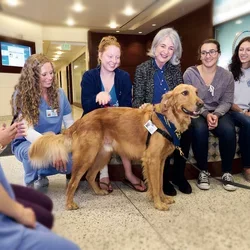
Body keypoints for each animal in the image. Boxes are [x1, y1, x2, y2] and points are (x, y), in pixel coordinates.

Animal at [28, 84, 203, 211]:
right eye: (185, 93)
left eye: (196, 92)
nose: (201, 104)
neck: (167, 120)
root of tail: (81, 120)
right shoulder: (152, 160)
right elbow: (155, 183)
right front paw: (159, 204)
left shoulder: (160, 162)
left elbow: (159, 183)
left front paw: (161, 198)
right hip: (87, 157)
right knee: (73, 182)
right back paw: (70, 204)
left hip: (103, 155)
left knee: (90, 176)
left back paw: (99, 191)